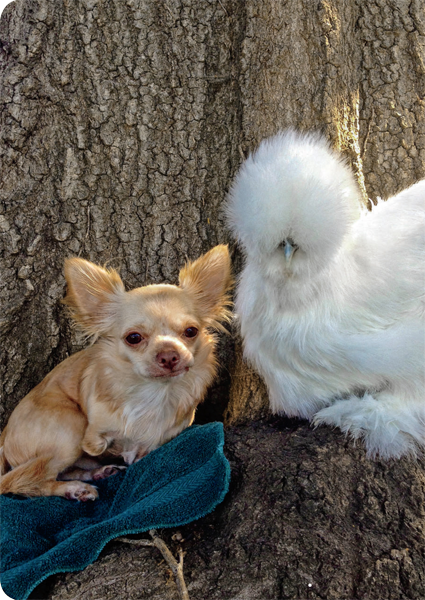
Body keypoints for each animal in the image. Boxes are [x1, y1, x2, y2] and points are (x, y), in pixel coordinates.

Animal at [0, 245, 232, 502]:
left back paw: (98, 473)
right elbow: (98, 444)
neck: (154, 393)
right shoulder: (93, 432)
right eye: (134, 337)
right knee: (23, 481)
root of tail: (4, 435)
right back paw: (75, 488)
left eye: (191, 331)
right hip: (70, 426)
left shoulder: (164, 439)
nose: (169, 355)